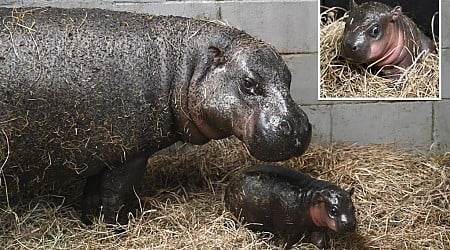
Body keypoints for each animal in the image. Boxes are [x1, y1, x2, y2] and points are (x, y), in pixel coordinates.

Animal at [0, 7, 312, 224]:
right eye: (248, 83)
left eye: (289, 77)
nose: (298, 127)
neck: (185, 66)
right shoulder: (128, 155)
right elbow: (113, 195)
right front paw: (116, 227)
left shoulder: (101, 152)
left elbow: (92, 194)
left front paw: (90, 222)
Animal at [223, 164, 356, 250]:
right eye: (333, 210)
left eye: (353, 208)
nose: (350, 223)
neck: (311, 199)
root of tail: (230, 184)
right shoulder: (294, 229)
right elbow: (288, 243)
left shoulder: (317, 228)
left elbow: (320, 242)